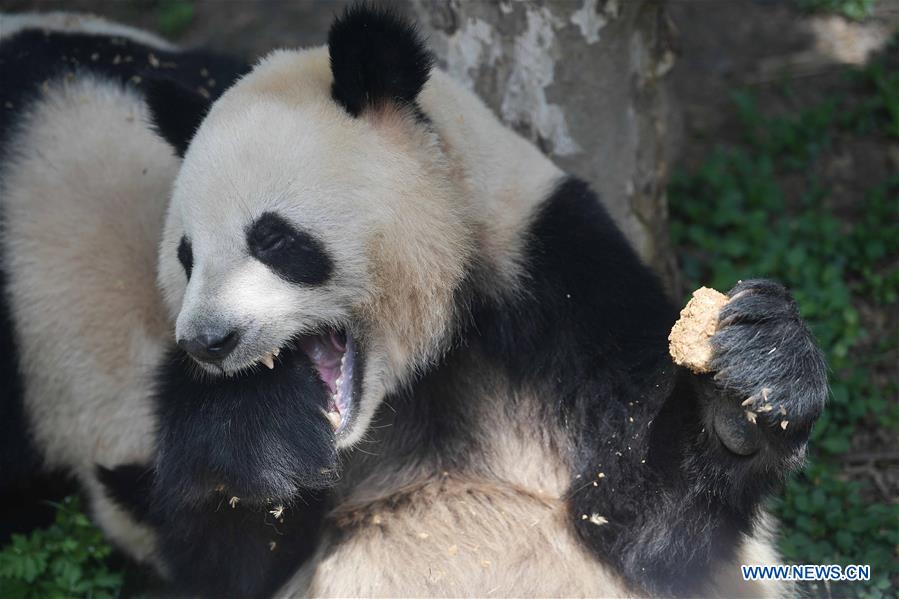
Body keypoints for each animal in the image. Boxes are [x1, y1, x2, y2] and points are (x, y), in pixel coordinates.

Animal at [138, 4, 828, 598]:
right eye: (186, 256)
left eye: (274, 238)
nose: (208, 342)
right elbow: (229, 563)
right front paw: (261, 423)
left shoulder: (558, 278)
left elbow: (645, 532)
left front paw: (744, 395)